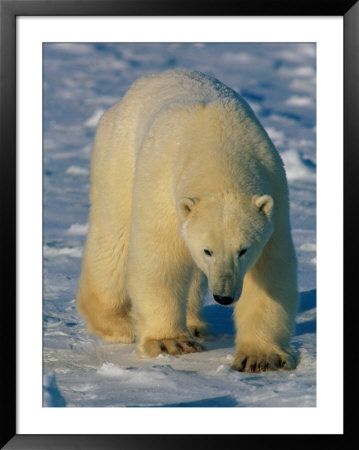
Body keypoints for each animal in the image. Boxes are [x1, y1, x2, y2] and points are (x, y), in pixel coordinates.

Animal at [77, 69, 300, 372]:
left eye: (243, 250)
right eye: (208, 250)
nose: (224, 296)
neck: (219, 145)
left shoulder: (274, 190)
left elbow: (271, 270)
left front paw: (260, 358)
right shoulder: (162, 184)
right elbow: (160, 258)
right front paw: (171, 343)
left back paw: (197, 325)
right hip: (118, 157)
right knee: (113, 239)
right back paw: (117, 323)